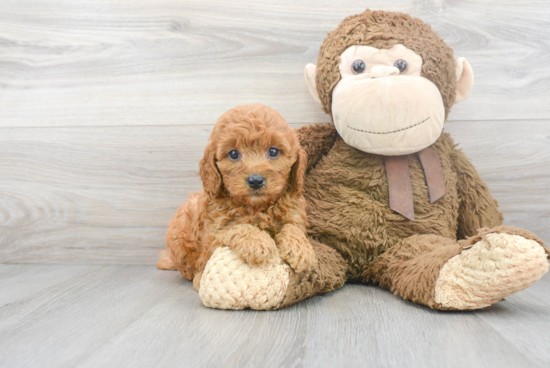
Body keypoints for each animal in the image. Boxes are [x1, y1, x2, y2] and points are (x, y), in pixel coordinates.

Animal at [157, 103, 316, 290]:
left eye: (273, 151)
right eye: (233, 154)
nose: (255, 180)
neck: (257, 207)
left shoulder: (294, 213)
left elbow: (292, 227)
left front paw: (301, 249)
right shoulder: (212, 238)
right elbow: (235, 228)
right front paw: (258, 242)